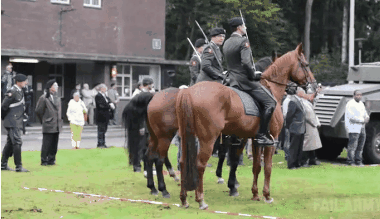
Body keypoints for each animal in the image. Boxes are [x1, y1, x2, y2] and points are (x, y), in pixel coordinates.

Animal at [177, 43, 318, 209]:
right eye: (306, 64)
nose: (314, 86)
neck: (270, 88)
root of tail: (189, 91)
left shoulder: (255, 140)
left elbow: (255, 166)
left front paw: (255, 194)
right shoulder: (271, 140)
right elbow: (267, 167)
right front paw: (266, 195)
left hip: (187, 136)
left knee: (183, 161)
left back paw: (184, 199)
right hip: (208, 139)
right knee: (200, 164)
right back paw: (201, 200)